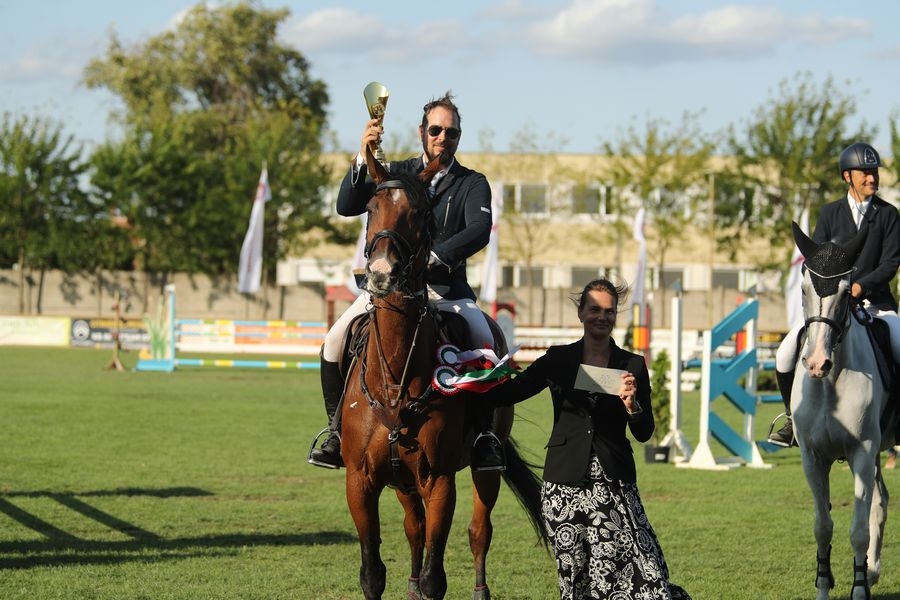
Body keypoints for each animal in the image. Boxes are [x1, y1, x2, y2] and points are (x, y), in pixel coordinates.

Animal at [340, 144, 547, 600]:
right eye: (370, 207)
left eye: (419, 213)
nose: (381, 274)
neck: (395, 377)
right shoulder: (360, 481)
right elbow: (372, 573)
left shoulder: (439, 481)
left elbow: (438, 574)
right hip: (402, 481)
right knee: (413, 529)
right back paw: (411, 586)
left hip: (484, 468)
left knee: (479, 531)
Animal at [790, 221, 894, 600]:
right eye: (803, 287)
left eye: (847, 291)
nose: (817, 363)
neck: (829, 384)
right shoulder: (812, 456)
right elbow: (823, 526)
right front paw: (824, 585)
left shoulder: (861, 451)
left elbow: (858, 530)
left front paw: (859, 588)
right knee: (880, 500)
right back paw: (873, 571)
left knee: (875, 504)